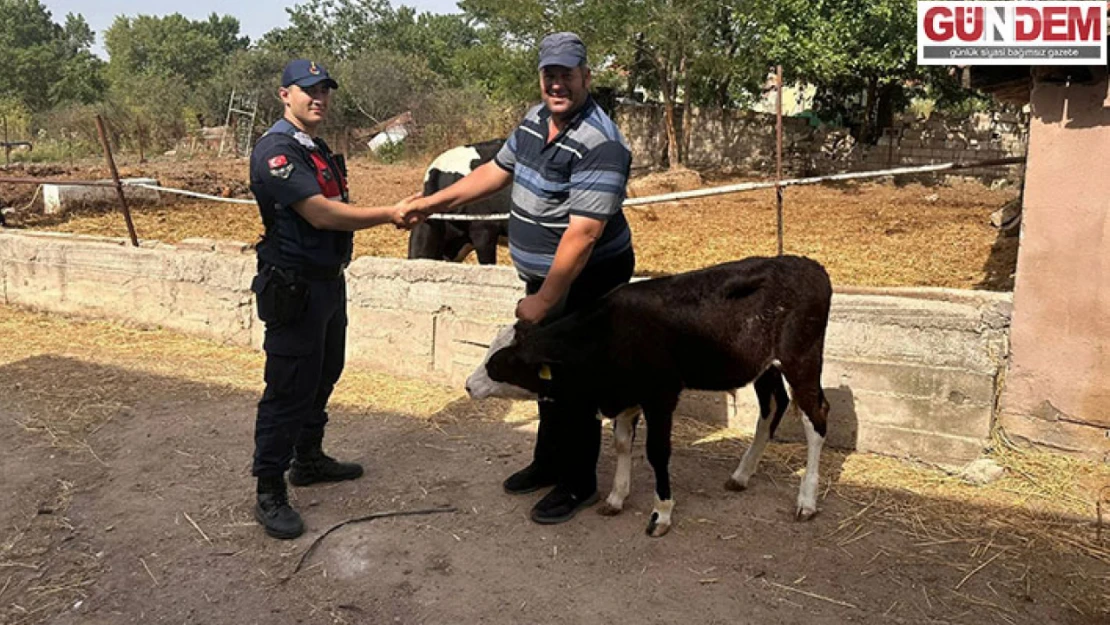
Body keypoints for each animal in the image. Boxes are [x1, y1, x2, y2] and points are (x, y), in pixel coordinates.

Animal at [461, 255, 834, 537]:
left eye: (500, 363)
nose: (468, 385)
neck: (611, 333)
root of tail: (810, 265)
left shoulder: (661, 396)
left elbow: (657, 452)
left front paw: (661, 513)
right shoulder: (626, 395)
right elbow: (622, 444)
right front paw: (616, 497)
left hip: (801, 359)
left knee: (815, 417)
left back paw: (807, 501)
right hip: (763, 366)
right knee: (773, 406)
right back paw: (742, 475)